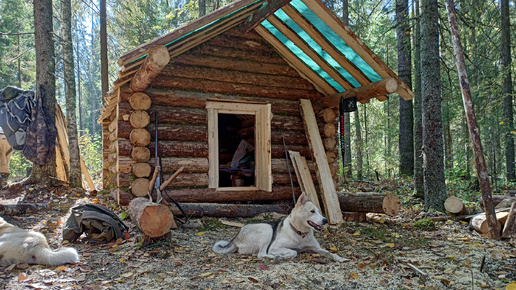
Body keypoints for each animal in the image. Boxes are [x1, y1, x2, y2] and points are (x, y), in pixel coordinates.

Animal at [212, 193, 348, 262]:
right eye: (312, 211)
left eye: (319, 211)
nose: (325, 220)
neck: (300, 233)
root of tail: (236, 238)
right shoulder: (274, 247)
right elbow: (293, 251)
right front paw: (285, 255)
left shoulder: (317, 249)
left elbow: (330, 253)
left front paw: (340, 258)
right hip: (266, 229)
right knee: (261, 254)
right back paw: (275, 257)